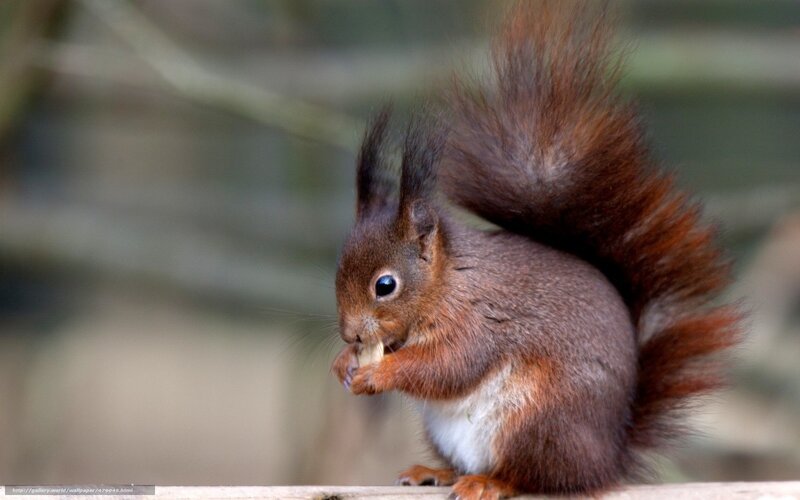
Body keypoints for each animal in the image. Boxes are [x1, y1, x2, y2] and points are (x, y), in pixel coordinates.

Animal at [331, 1, 740, 498]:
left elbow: (448, 366)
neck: (448, 281)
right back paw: (437, 472)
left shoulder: (477, 322)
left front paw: (377, 372)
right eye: (337, 273)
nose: (350, 335)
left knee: (538, 476)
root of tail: (607, 458)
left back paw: (489, 482)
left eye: (385, 285)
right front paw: (342, 364)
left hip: (538, 418)